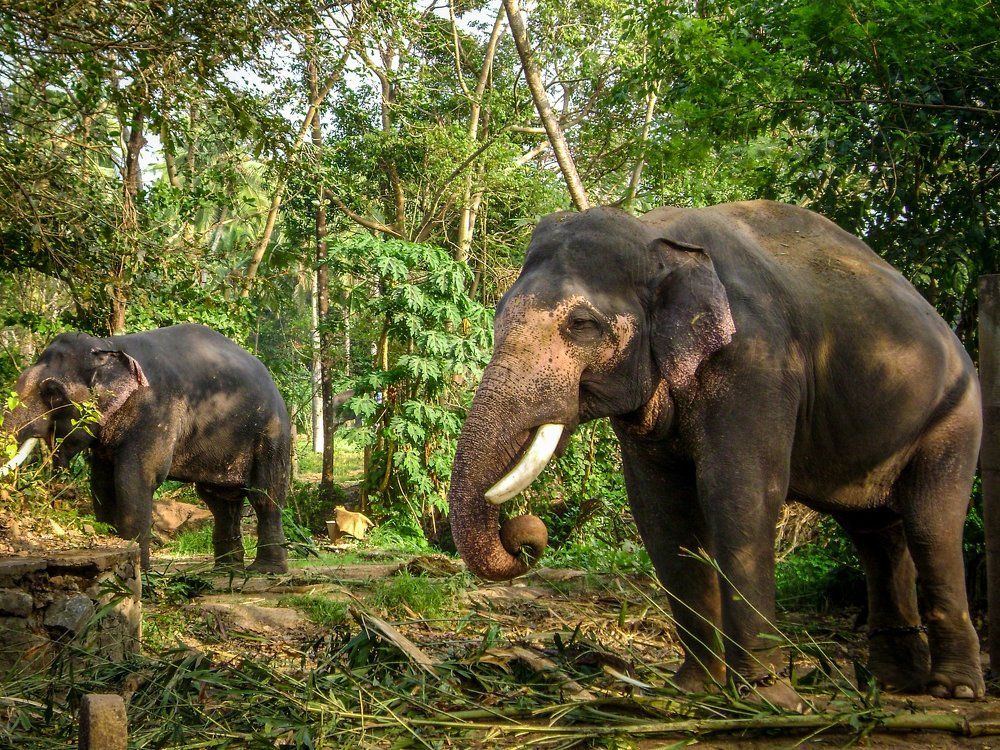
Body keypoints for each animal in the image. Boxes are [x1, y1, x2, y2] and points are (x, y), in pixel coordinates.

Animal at [1, 323, 291, 573]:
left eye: (53, 392)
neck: (107, 346)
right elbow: (102, 484)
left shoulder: (155, 410)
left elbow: (135, 477)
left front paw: (140, 572)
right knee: (220, 500)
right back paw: (227, 571)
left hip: (273, 432)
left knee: (265, 494)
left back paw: (266, 571)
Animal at [447, 201, 985, 707]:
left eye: (582, 325)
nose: (524, 535)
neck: (655, 235)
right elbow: (661, 510)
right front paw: (694, 690)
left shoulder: (755, 361)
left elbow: (738, 494)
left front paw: (770, 699)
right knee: (874, 532)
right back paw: (894, 682)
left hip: (956, 416)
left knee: (930, 525)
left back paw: (954, 689)